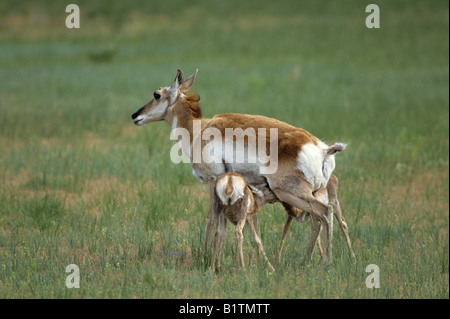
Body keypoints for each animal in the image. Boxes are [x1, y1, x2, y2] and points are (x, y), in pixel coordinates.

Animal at [130, 69, 348, 264]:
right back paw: (309, 260)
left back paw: (326, 261)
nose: (134, 115)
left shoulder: (212, 180)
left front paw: (205, 255)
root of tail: (323, 149)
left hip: (291, 193)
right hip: (312, 192)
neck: (198, 130)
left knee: (323, 212)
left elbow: (210, 218)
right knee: (318, 219)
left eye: (157, 94)